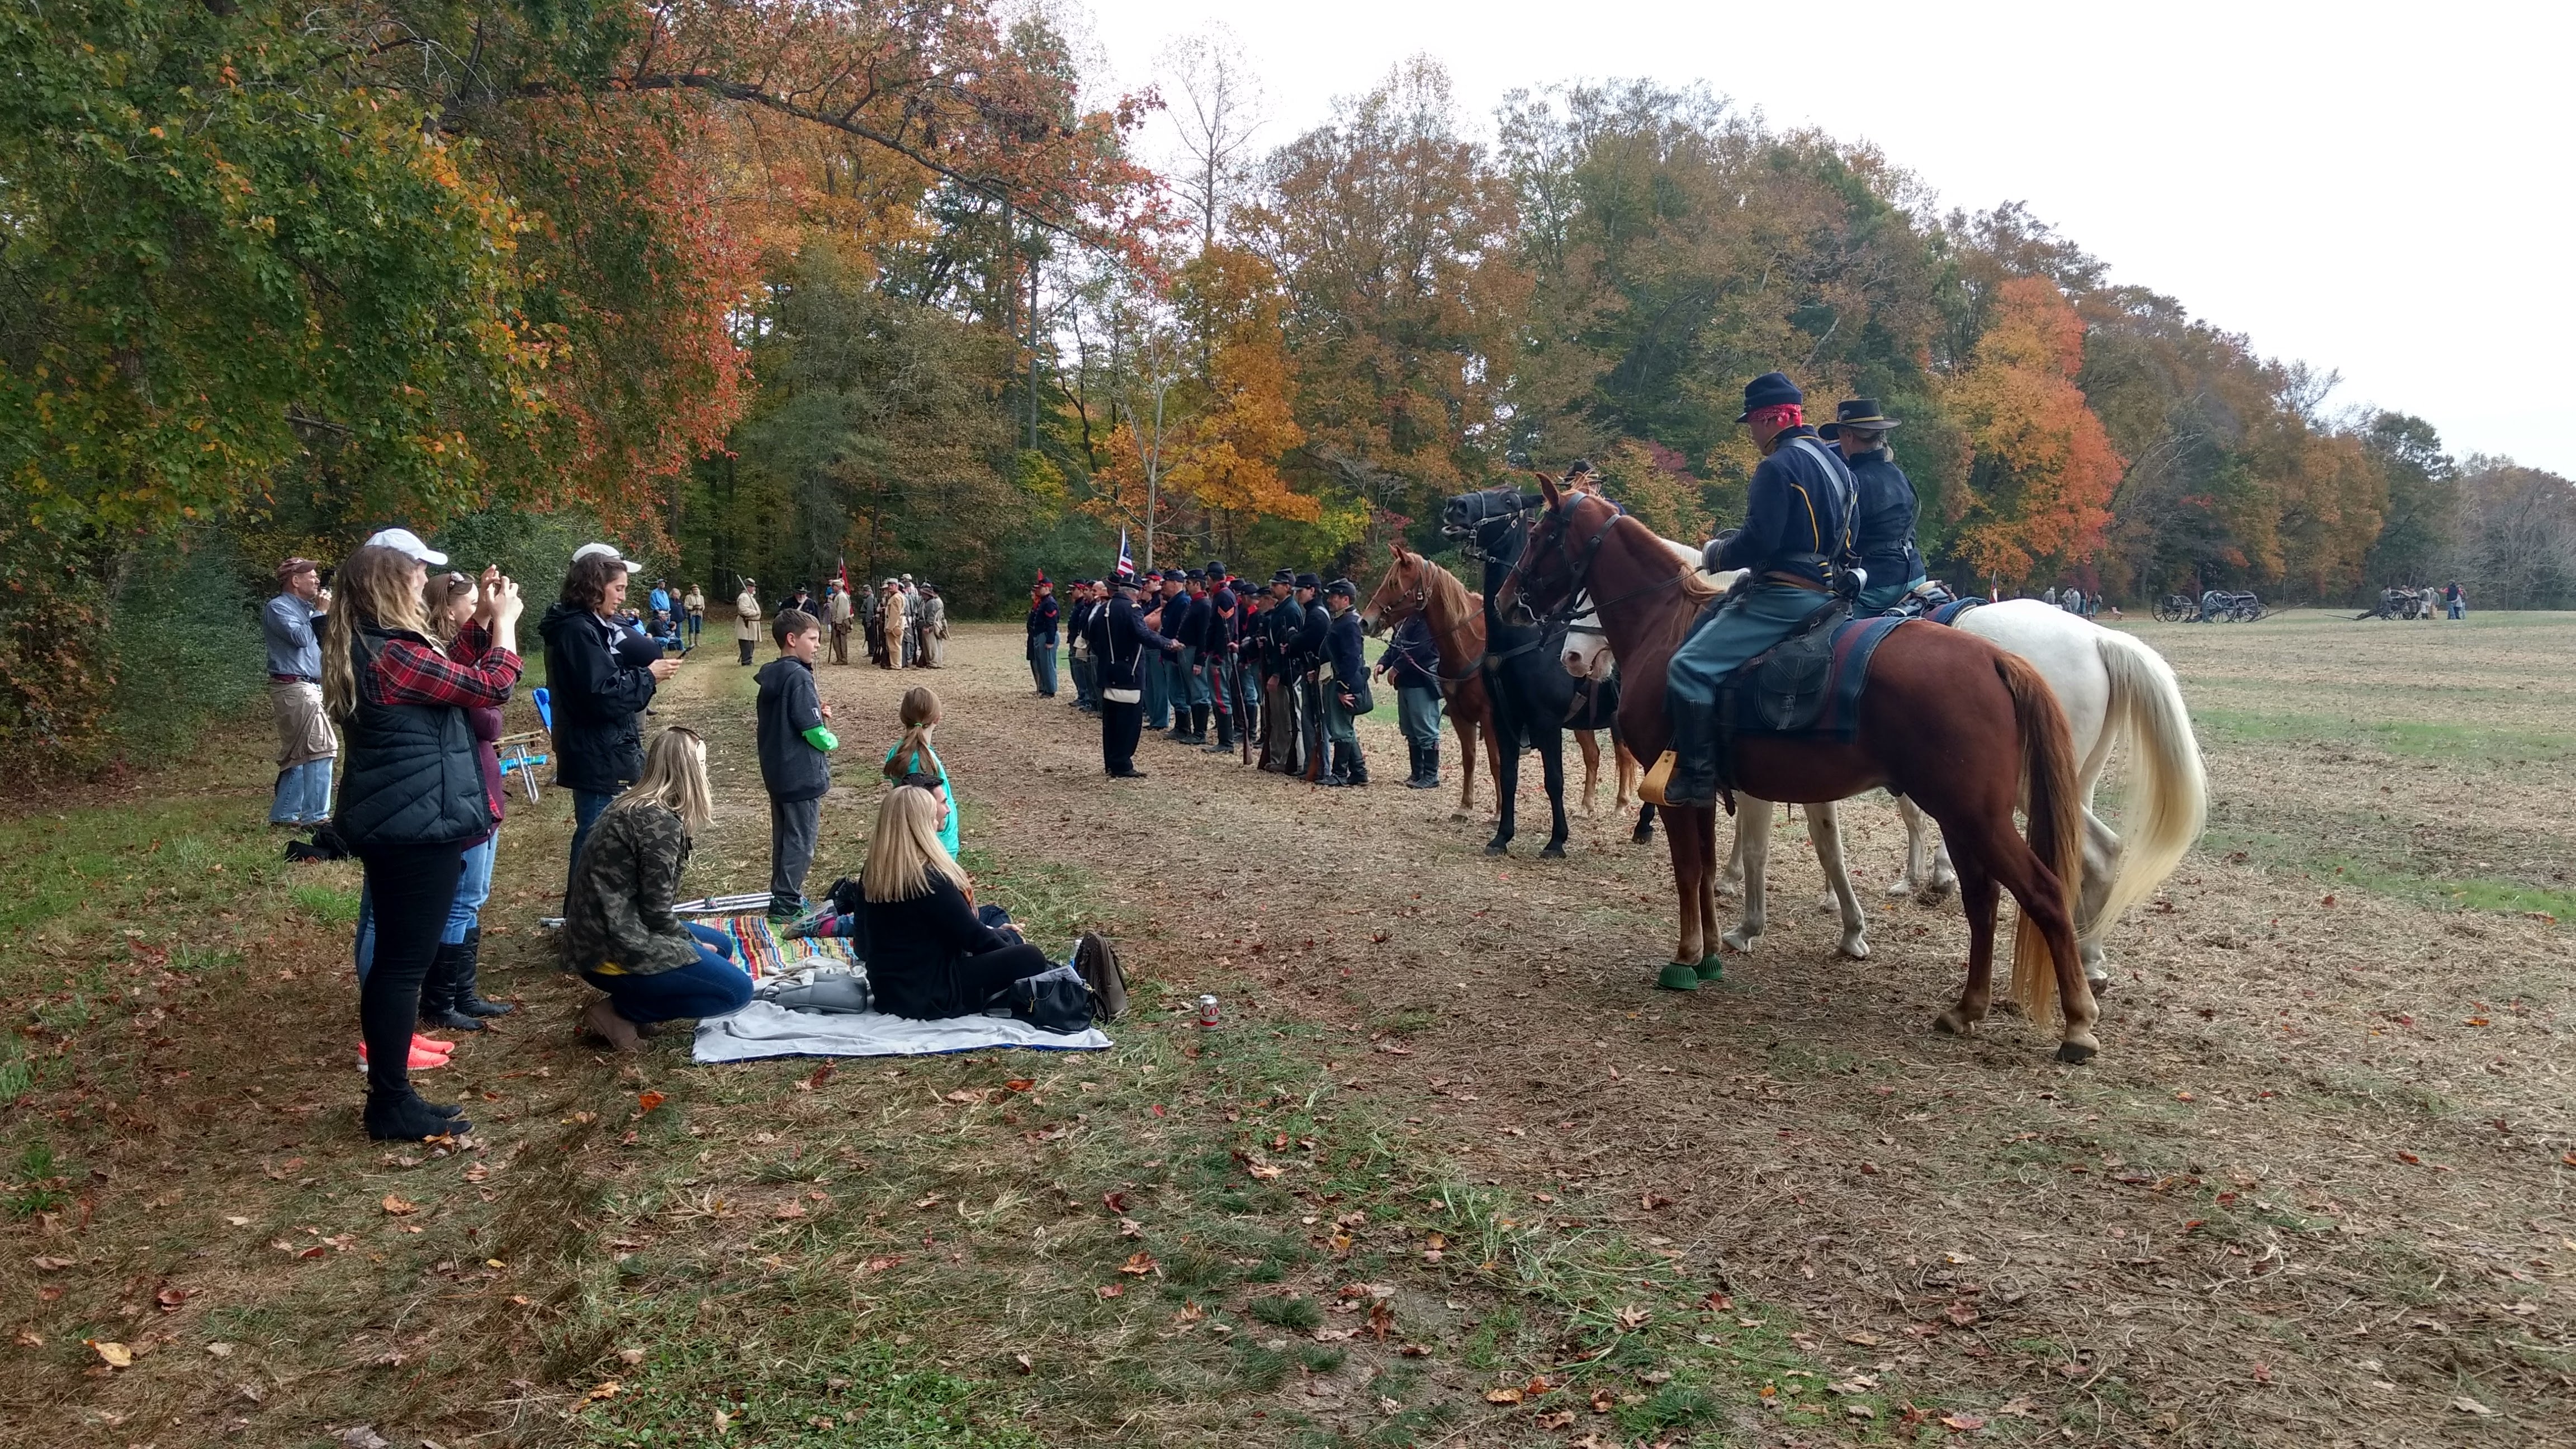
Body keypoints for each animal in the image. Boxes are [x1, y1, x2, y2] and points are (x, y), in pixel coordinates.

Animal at [1504, 485, 2102, 1062]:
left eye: (1537, 535)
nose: (1510, 601)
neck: (1667, 624)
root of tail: (1995, 660)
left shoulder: (1674, 791)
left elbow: (1690, 870)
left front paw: (1687, 955)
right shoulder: (1699, 792)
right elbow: (1708, 866)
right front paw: (1714, 952)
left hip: (1976, 818)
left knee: (2045, 892)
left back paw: (2077, 1022)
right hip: (1963, 820)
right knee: (1984, 901)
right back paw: (1970, 1006)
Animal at [1566, 588, 2215, 979]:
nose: (1572, 656)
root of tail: (2099, 638)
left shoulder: (1754, 784)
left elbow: (1758, 848)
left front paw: (1746, 918)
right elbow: (1828, 843)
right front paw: (1852, 915)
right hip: (2064, 784)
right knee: (2098, 852)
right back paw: (2090, 957)